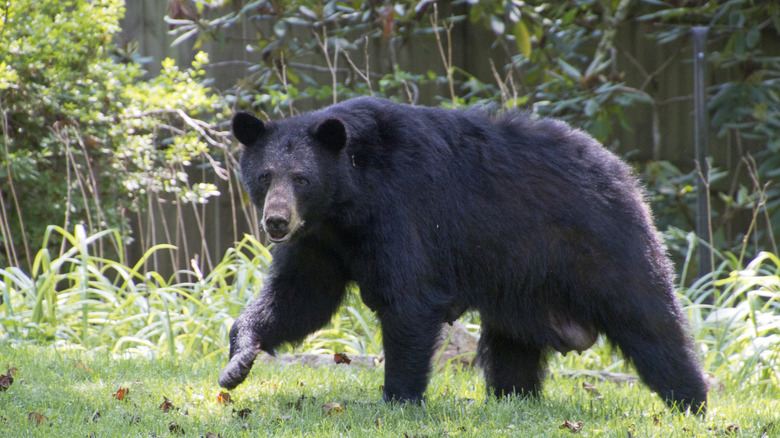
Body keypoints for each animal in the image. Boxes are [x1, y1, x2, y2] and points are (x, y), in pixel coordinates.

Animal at [219, 96, 708, 414]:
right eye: (265, 176)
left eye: (302, 178)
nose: (276, 222)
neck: (347, 202)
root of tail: (624, 173)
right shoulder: (320, 243)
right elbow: (299, 298)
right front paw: (237, 363)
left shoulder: (404, 211)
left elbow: (410, 299)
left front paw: (398, 398)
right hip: (522, 289)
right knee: (512, 350)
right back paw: (514, 398)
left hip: (602, 245)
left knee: (649, 320)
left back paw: (691, 400)